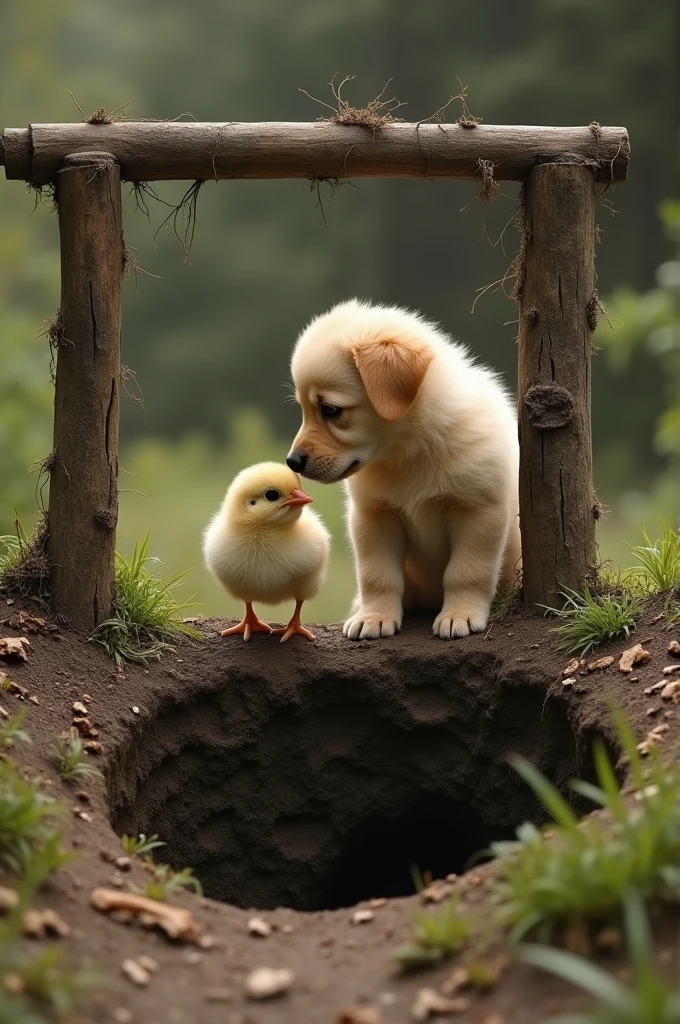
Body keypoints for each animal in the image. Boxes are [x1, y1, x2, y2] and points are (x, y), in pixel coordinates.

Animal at [286, 299, 520, 638]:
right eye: (304, 409)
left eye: (331, 410)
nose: (292, 462)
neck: (410, 450)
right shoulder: (374, 515)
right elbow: (377, 575)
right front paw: (374, 617)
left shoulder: (478, 510)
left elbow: (466, 571)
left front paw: (459, 614)